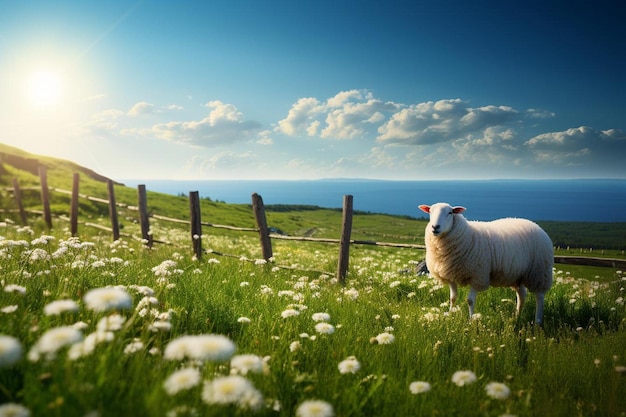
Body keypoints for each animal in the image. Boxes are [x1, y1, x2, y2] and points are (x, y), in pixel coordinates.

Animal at [420, 201, 552, 322]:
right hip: (517, 275)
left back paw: (538, 321)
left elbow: (470, 300)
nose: (435, 227)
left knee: (539, 296)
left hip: (539, 271)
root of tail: (535, 225)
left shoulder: (477, 275)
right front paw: (450, 315)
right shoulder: (451, 275)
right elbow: (452, 298)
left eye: (450, 212)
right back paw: (516, 317)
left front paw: (471, 320)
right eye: (430, 212)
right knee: (522, 295)